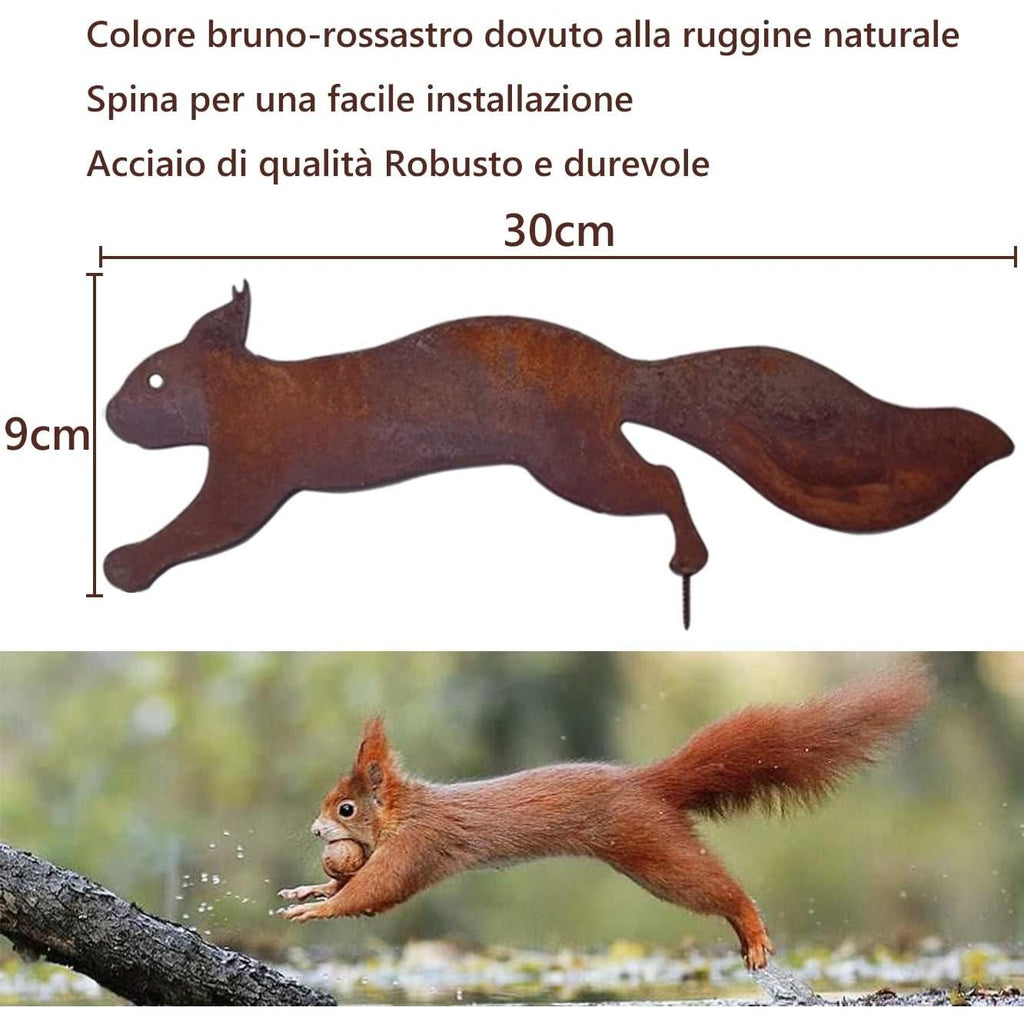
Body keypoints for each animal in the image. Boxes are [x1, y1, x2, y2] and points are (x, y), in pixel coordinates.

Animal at [278, 667, 932, 969]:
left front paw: (318, 909)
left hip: (653, 851)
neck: (405, 811)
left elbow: (377, 892)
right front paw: (307, 889)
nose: (314, 832)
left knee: (718, 888)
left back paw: (751, 927)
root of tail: (646, 782)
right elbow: (354, 883)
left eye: (344, 807)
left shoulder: (419, 844)